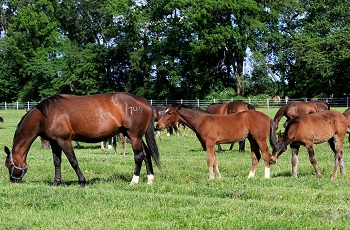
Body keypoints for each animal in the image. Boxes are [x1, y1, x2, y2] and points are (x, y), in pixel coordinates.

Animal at [4, 92, 160, 187]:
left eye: (8, 165)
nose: (12, 182)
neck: (45, 115)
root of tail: (145, 102)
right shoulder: (55, 142)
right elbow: (57, 162)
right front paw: (56, 182)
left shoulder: (64, 140)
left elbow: (73, 161)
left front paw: (82, 182)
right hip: (134, 136)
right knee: (146, 154)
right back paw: (150, 179)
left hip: (134, 136)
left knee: (139, 156)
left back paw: (134, 180)